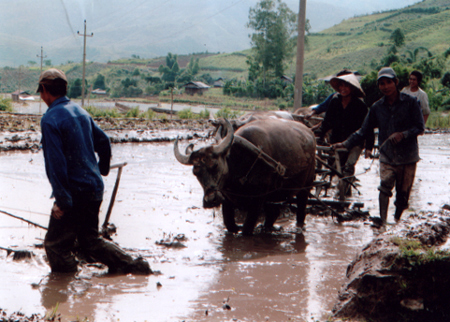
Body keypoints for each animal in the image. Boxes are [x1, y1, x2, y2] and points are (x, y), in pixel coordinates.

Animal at [174, 117, 314, 235]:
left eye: (215, 165)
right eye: (195, 172)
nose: (210, 200)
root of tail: (310, 134)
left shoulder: (257, 200)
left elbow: (247, 229)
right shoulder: (227, 198)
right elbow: (230, 225)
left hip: (306, 187)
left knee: (301, 211)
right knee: (273, 213)